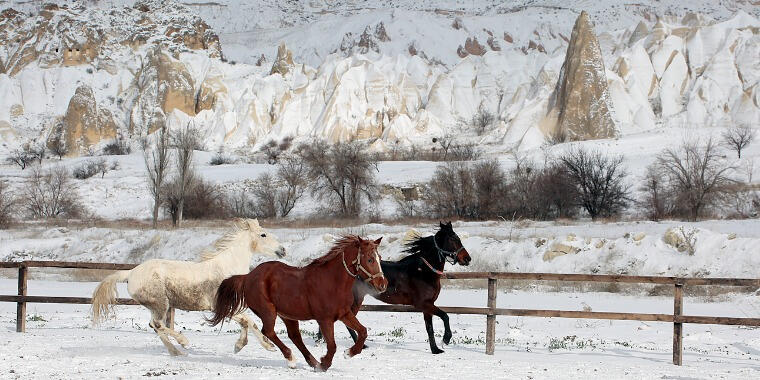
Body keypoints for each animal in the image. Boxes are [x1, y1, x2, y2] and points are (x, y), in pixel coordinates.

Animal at [91, 218, 284, 354]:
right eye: (263, 235)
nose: (283, 250)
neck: (227, 269)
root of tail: (130, 273)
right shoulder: (219, 306)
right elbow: (249, 322)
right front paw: (268, 346)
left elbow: (246, 323)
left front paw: (240, 346)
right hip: (160, 304)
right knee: (157, 324)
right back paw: (183, 343)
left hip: (156, 306)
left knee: (155, 326)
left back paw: (177, 353)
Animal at [206, 235, 386, 372]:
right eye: (370, 259)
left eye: (380, 258)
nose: (383, 284)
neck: (332, 282)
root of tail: (248, 276)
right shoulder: (325, 319)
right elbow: (332, 345)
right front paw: (325, 364)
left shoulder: (344, 314)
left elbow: (362, 331)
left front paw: (348, 353)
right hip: (268, 311)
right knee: (269, 331)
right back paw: (292, 359)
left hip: (288, 315)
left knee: (294, 336)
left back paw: (312, 362)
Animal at [322, 221, 476, 354]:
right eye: (453, 239)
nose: (467, 259)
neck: (423, 271)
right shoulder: (423, 304)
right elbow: (445, 316)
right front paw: (446, 339)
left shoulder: (428, 305)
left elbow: (429, 328)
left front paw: (435, 350)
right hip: (355, 300)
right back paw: (361, 346)